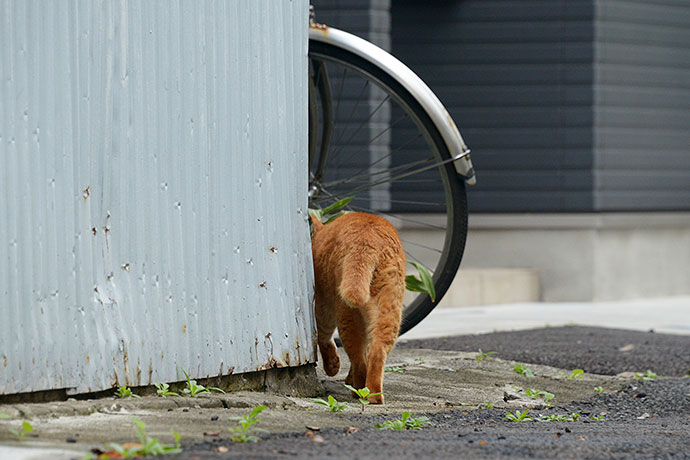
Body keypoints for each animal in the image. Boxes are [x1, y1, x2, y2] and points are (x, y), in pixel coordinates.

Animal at [310, 212, 404, 402]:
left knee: (359, 359)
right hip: (387, 310)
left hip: (345, 312)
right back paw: (373, 395)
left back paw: (358, 390)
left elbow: (323, 337)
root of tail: (366, 240)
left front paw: (333, 366)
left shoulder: (322, 304)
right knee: (376, 352)